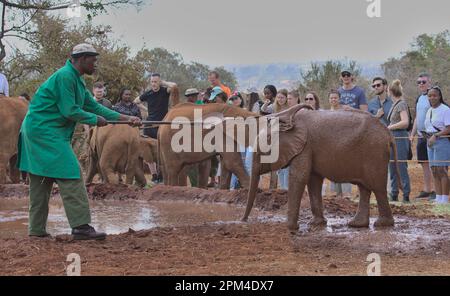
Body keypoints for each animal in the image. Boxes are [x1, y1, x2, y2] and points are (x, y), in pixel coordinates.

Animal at [243, 104, 398, 231]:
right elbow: (313, 182)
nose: (244, 220)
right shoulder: (309, 149)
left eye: (261, 152)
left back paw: (382, 224)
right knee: (364, 187)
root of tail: (388, 133)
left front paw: (291, 227)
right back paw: (357, 224)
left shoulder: (305, 147)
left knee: (377, 187)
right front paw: (315, 224)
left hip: (375, 153)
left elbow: (299, 177)